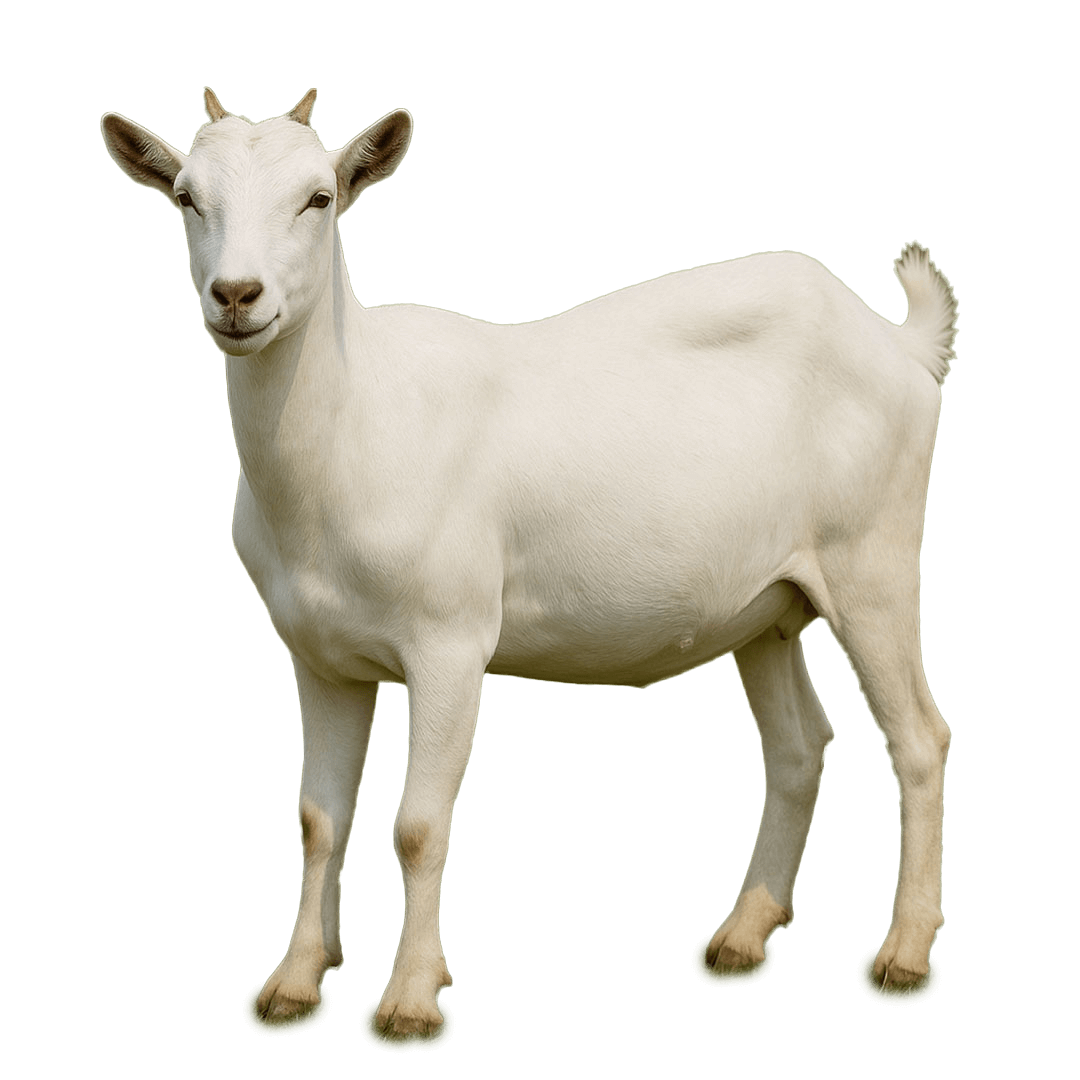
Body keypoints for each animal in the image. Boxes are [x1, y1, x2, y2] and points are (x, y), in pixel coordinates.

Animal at [102, 88, 956, 1038]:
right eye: (186, 196)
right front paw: (293, 983)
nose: (236, 295)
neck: (359, 422)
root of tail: (898, 343)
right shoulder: (319, 657)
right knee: (801, 745)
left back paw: (904, 955)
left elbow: (419, 826)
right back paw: (742, 937)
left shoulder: (450, 641)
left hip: (873, 559)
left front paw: (409, 1002)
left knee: (919, 739)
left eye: (319, 198)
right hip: (767, 605)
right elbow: (320, 820)